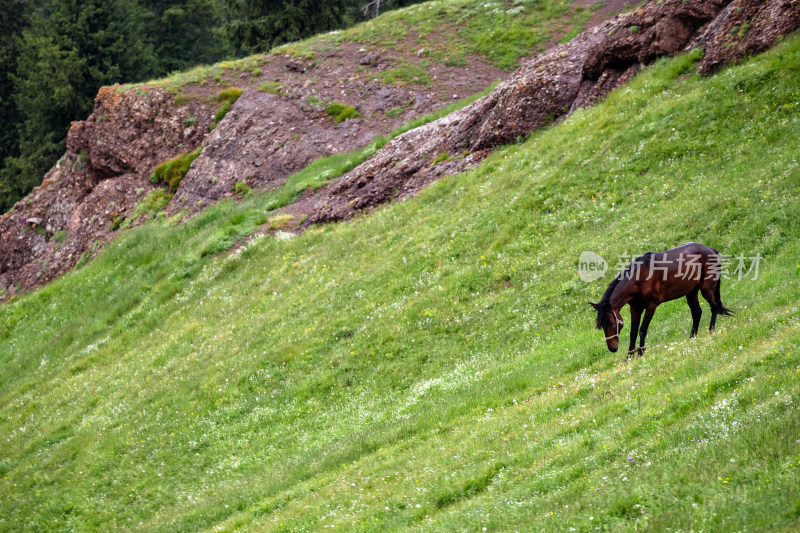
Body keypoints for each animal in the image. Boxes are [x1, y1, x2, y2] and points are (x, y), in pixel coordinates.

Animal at [588, 243, 732, 356]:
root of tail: (711, 250)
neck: (639, 278)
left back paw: (711, 330)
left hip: (706, 289)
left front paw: (641, 352)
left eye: (611, 323)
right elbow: (633, 332)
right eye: (602, 326)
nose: (612, 348)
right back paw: (692, 337)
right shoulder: (635, 308)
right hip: (691, 292)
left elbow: (642, 330)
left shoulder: (651, 306)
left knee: (714, 307)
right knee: (697, 313)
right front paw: (629, 356)